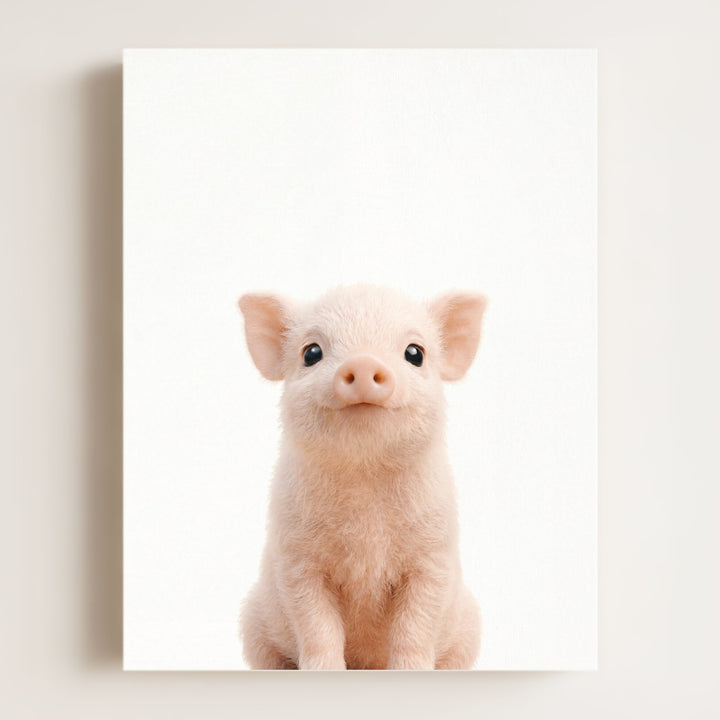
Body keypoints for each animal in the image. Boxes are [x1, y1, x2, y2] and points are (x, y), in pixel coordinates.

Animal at [238, 284, 487, 670]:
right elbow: (317, 626)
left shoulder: (433, 557)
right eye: (311, 353)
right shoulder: (297, 560)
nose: (364, 361)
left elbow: (416, 626)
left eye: (415, 353)